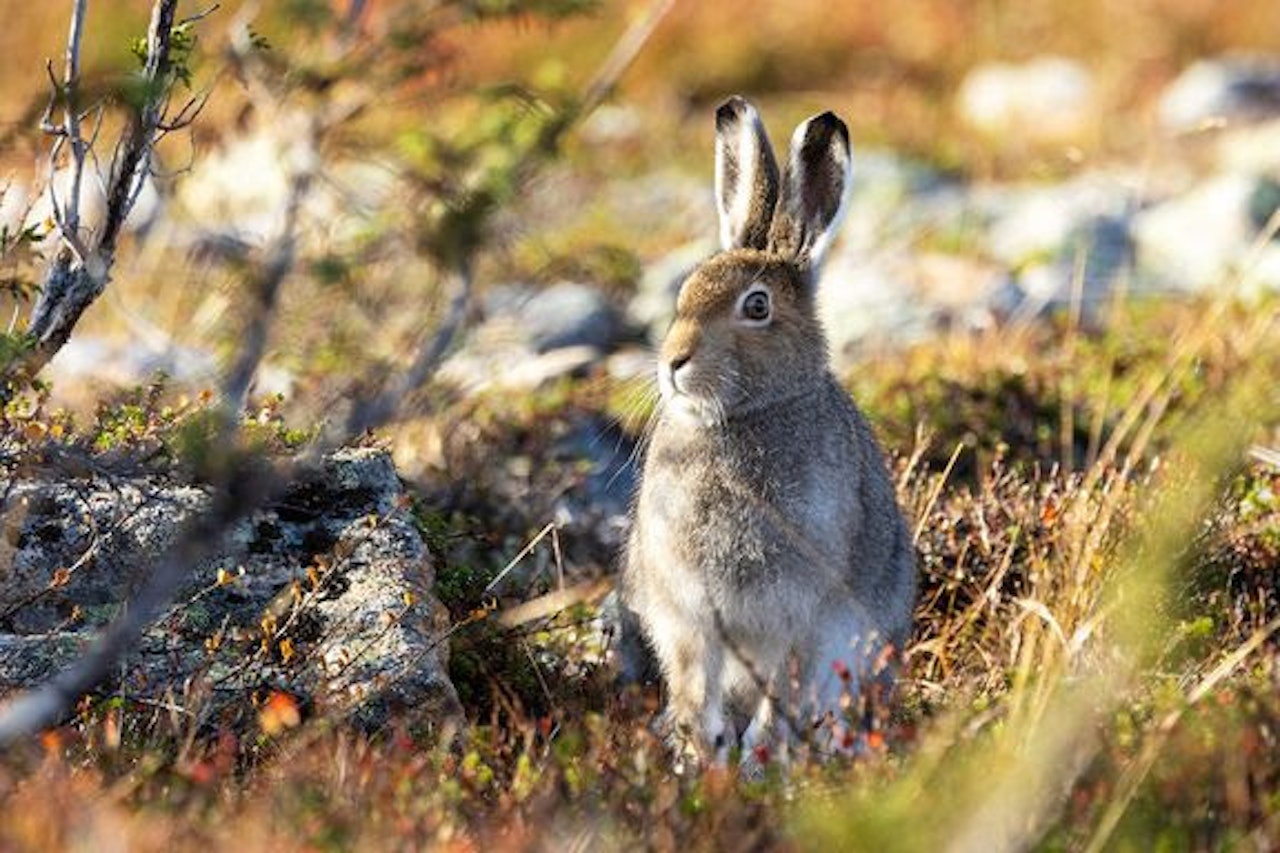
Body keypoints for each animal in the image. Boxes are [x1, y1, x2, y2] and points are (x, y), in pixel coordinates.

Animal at [621, 96, 917, 767]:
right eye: (683, 293)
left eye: (756, 307)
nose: (672, 362)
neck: (742, 417)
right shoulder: (691, 619)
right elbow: (693, 686)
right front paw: (697, 757)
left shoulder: (799, 612)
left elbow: (780, 689)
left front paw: (757, 759)